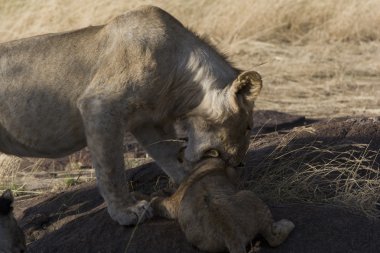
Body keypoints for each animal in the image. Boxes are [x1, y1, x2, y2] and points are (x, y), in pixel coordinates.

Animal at [0, 5, 262, 225]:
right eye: (248, 126)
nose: (239, 162)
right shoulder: (99, 106)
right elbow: (111, 168)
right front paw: (127, 211)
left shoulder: (146, 121)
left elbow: (167, 154)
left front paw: (190, 180)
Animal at [151, 158, 294, 253]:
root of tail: (230, 232)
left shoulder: (175, 202)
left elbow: (161, 201)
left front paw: (158, 194)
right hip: (248, 194)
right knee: (273, 239)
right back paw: (288, 224)